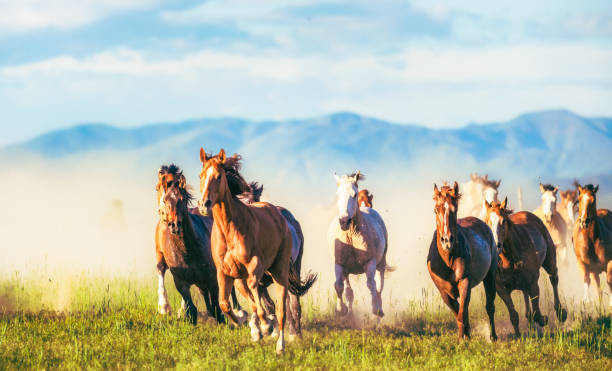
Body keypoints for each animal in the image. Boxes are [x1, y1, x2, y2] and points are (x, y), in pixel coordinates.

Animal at [153, 166, 246, 326]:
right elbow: (191, 308)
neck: (188, 251)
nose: (174, 225)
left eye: (182, 199)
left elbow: (216, 305)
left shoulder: (213, 278)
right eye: (165, 199)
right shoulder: (181, 281)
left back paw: (238, 311)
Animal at [198, 148, 316, 354]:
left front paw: (266, 327)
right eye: (201, 175)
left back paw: (284, 342)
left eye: (218, 176)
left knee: (286, 307)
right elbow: (226, 304)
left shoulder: (254, 267)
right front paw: (248, 325)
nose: (204, 204)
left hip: (282, 271)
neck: (230, 231)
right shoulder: (227, 273)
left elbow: (259, 300)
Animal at [328, 173, 390, 318]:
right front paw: (341, 309)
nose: (344, 221)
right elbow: (339, 286)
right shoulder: (339, 264)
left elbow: (371, 285)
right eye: (337, 195)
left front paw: (375, 309)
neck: (351, 236)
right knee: (349, 291)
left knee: (379, 287)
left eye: (354, 194)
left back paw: (379, 312)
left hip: (381, 264)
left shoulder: (370, 262)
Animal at [428, 182, 500, 340]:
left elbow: (461, 314)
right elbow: (459, 313)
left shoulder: (465, 282)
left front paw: (462, 339)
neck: (448, 260)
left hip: (490, 277)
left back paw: (493, 336)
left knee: (490, 307)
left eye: (455, 210)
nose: (447, 240)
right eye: (436, 210)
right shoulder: (444, 291)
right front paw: (466, 335)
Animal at [486, 199, 568, 338]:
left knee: (554, 279)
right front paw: (518, 335)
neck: (510, 259)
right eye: (487, 221)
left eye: (503, 221)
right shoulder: (501, 289)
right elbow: (513, 314)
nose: (496, 245)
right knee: (525, 294)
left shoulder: (533, 283)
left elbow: (536, 312)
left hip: (550, 261)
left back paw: (560, 312)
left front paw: (543, 319)